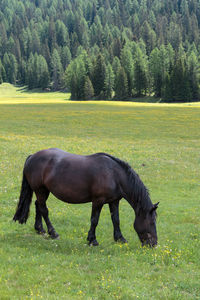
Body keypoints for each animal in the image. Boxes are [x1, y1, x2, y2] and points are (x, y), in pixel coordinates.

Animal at [12, 149, 159, 247]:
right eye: (152, 222)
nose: (153, 244)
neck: (113, 174)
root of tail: (32, 156)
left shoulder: (114, 201)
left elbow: (116, 220)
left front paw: (120, 238)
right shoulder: (98, 201)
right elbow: (94, 220)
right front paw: (92, 240)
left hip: (43, 191)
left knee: (38, 205)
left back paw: (40, 230)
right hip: (40, 190)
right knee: (44, 209)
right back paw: (53, 233)